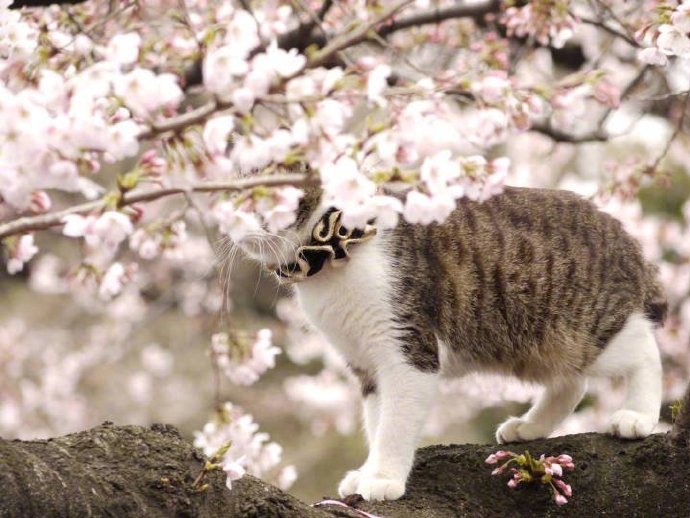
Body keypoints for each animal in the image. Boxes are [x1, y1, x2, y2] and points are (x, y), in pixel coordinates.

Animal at [232, 185, 668, 502]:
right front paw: (369, 470)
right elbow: (376, 421)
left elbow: (394, 424)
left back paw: (637, 416)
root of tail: (626, 237)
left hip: (584, 328)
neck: (331, 258)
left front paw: (384, 476)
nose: (232, 222)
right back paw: (529, 426)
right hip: (537, 345)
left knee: (644, 352)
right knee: (572, 383)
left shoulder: (407, 349)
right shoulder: (366, 363)